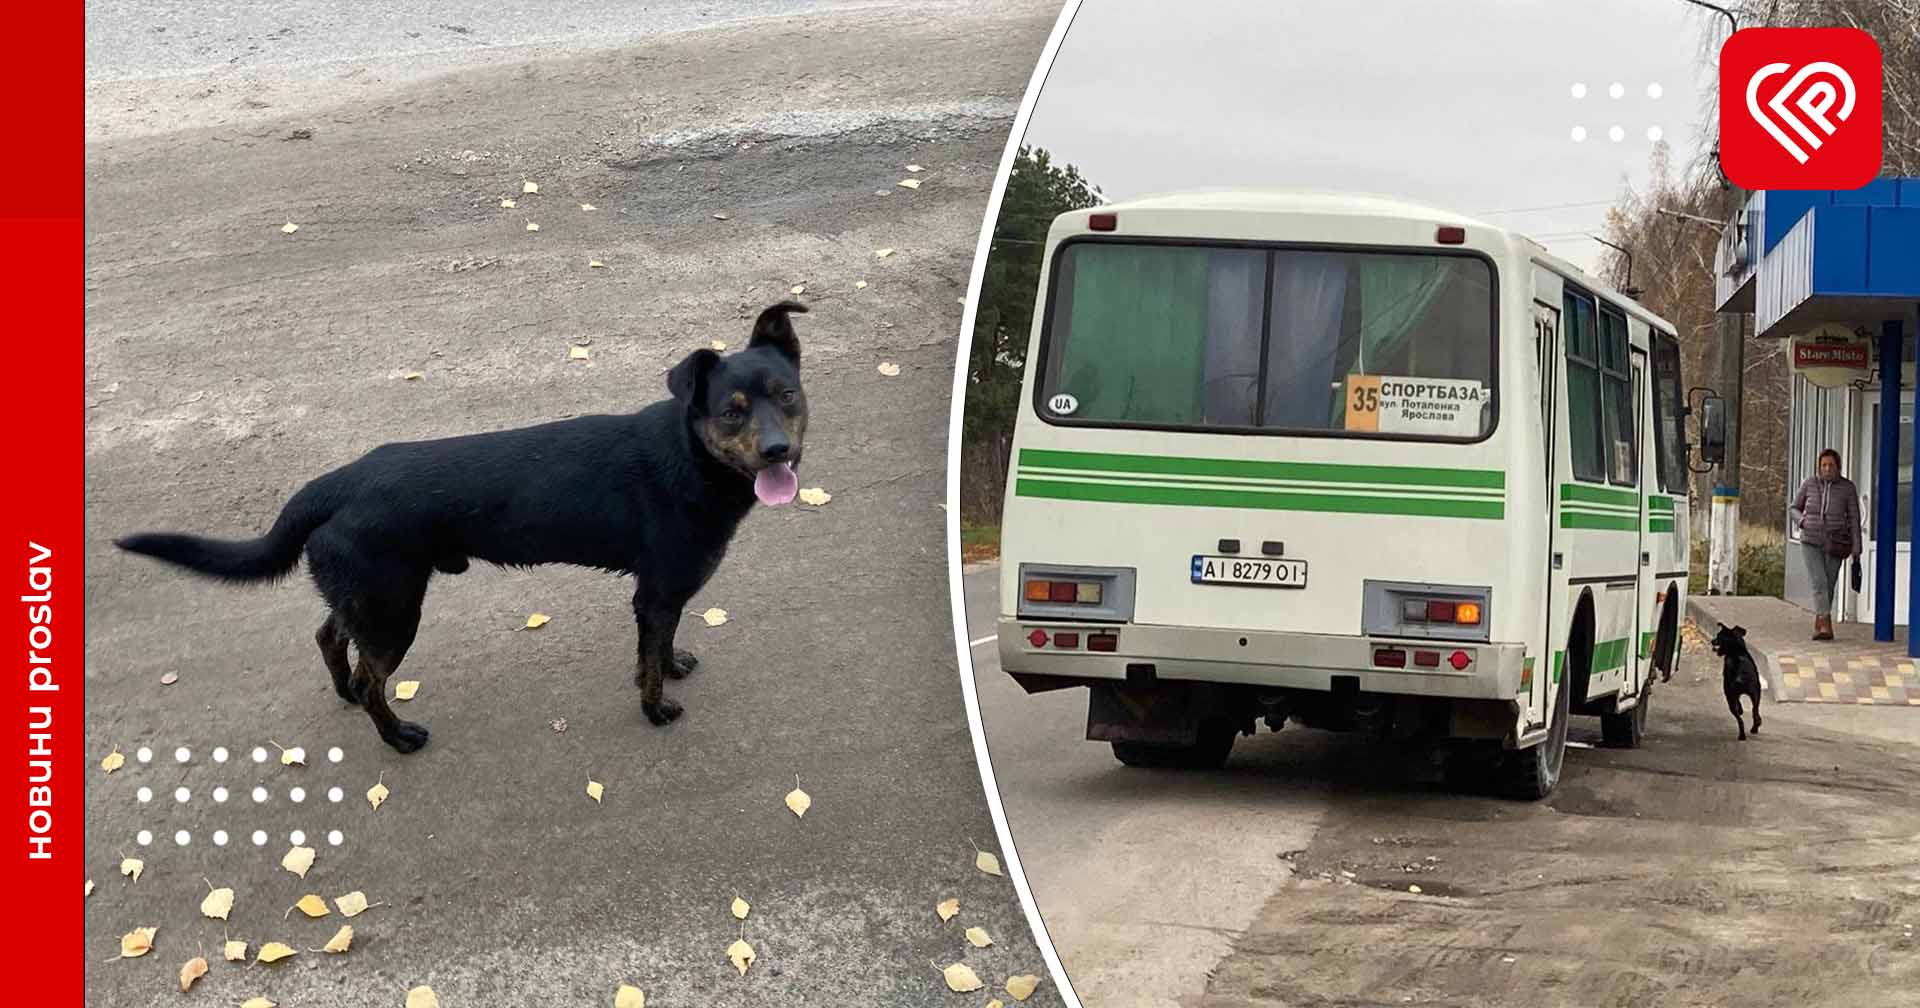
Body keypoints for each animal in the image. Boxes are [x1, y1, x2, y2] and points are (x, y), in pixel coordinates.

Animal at [120, 299, 810, 744]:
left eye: (787, 396)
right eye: (731, 411)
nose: (780, 452)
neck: (691, 458)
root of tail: (332, 482)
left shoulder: (664, 595)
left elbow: (662, 647)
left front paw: (673, 668)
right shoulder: (658, 592)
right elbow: (646, 661)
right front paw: (657, 707)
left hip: (368, 596)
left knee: (329, 638)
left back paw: (343, 693)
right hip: (394, 609)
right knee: (372, 681)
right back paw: (397, 738)